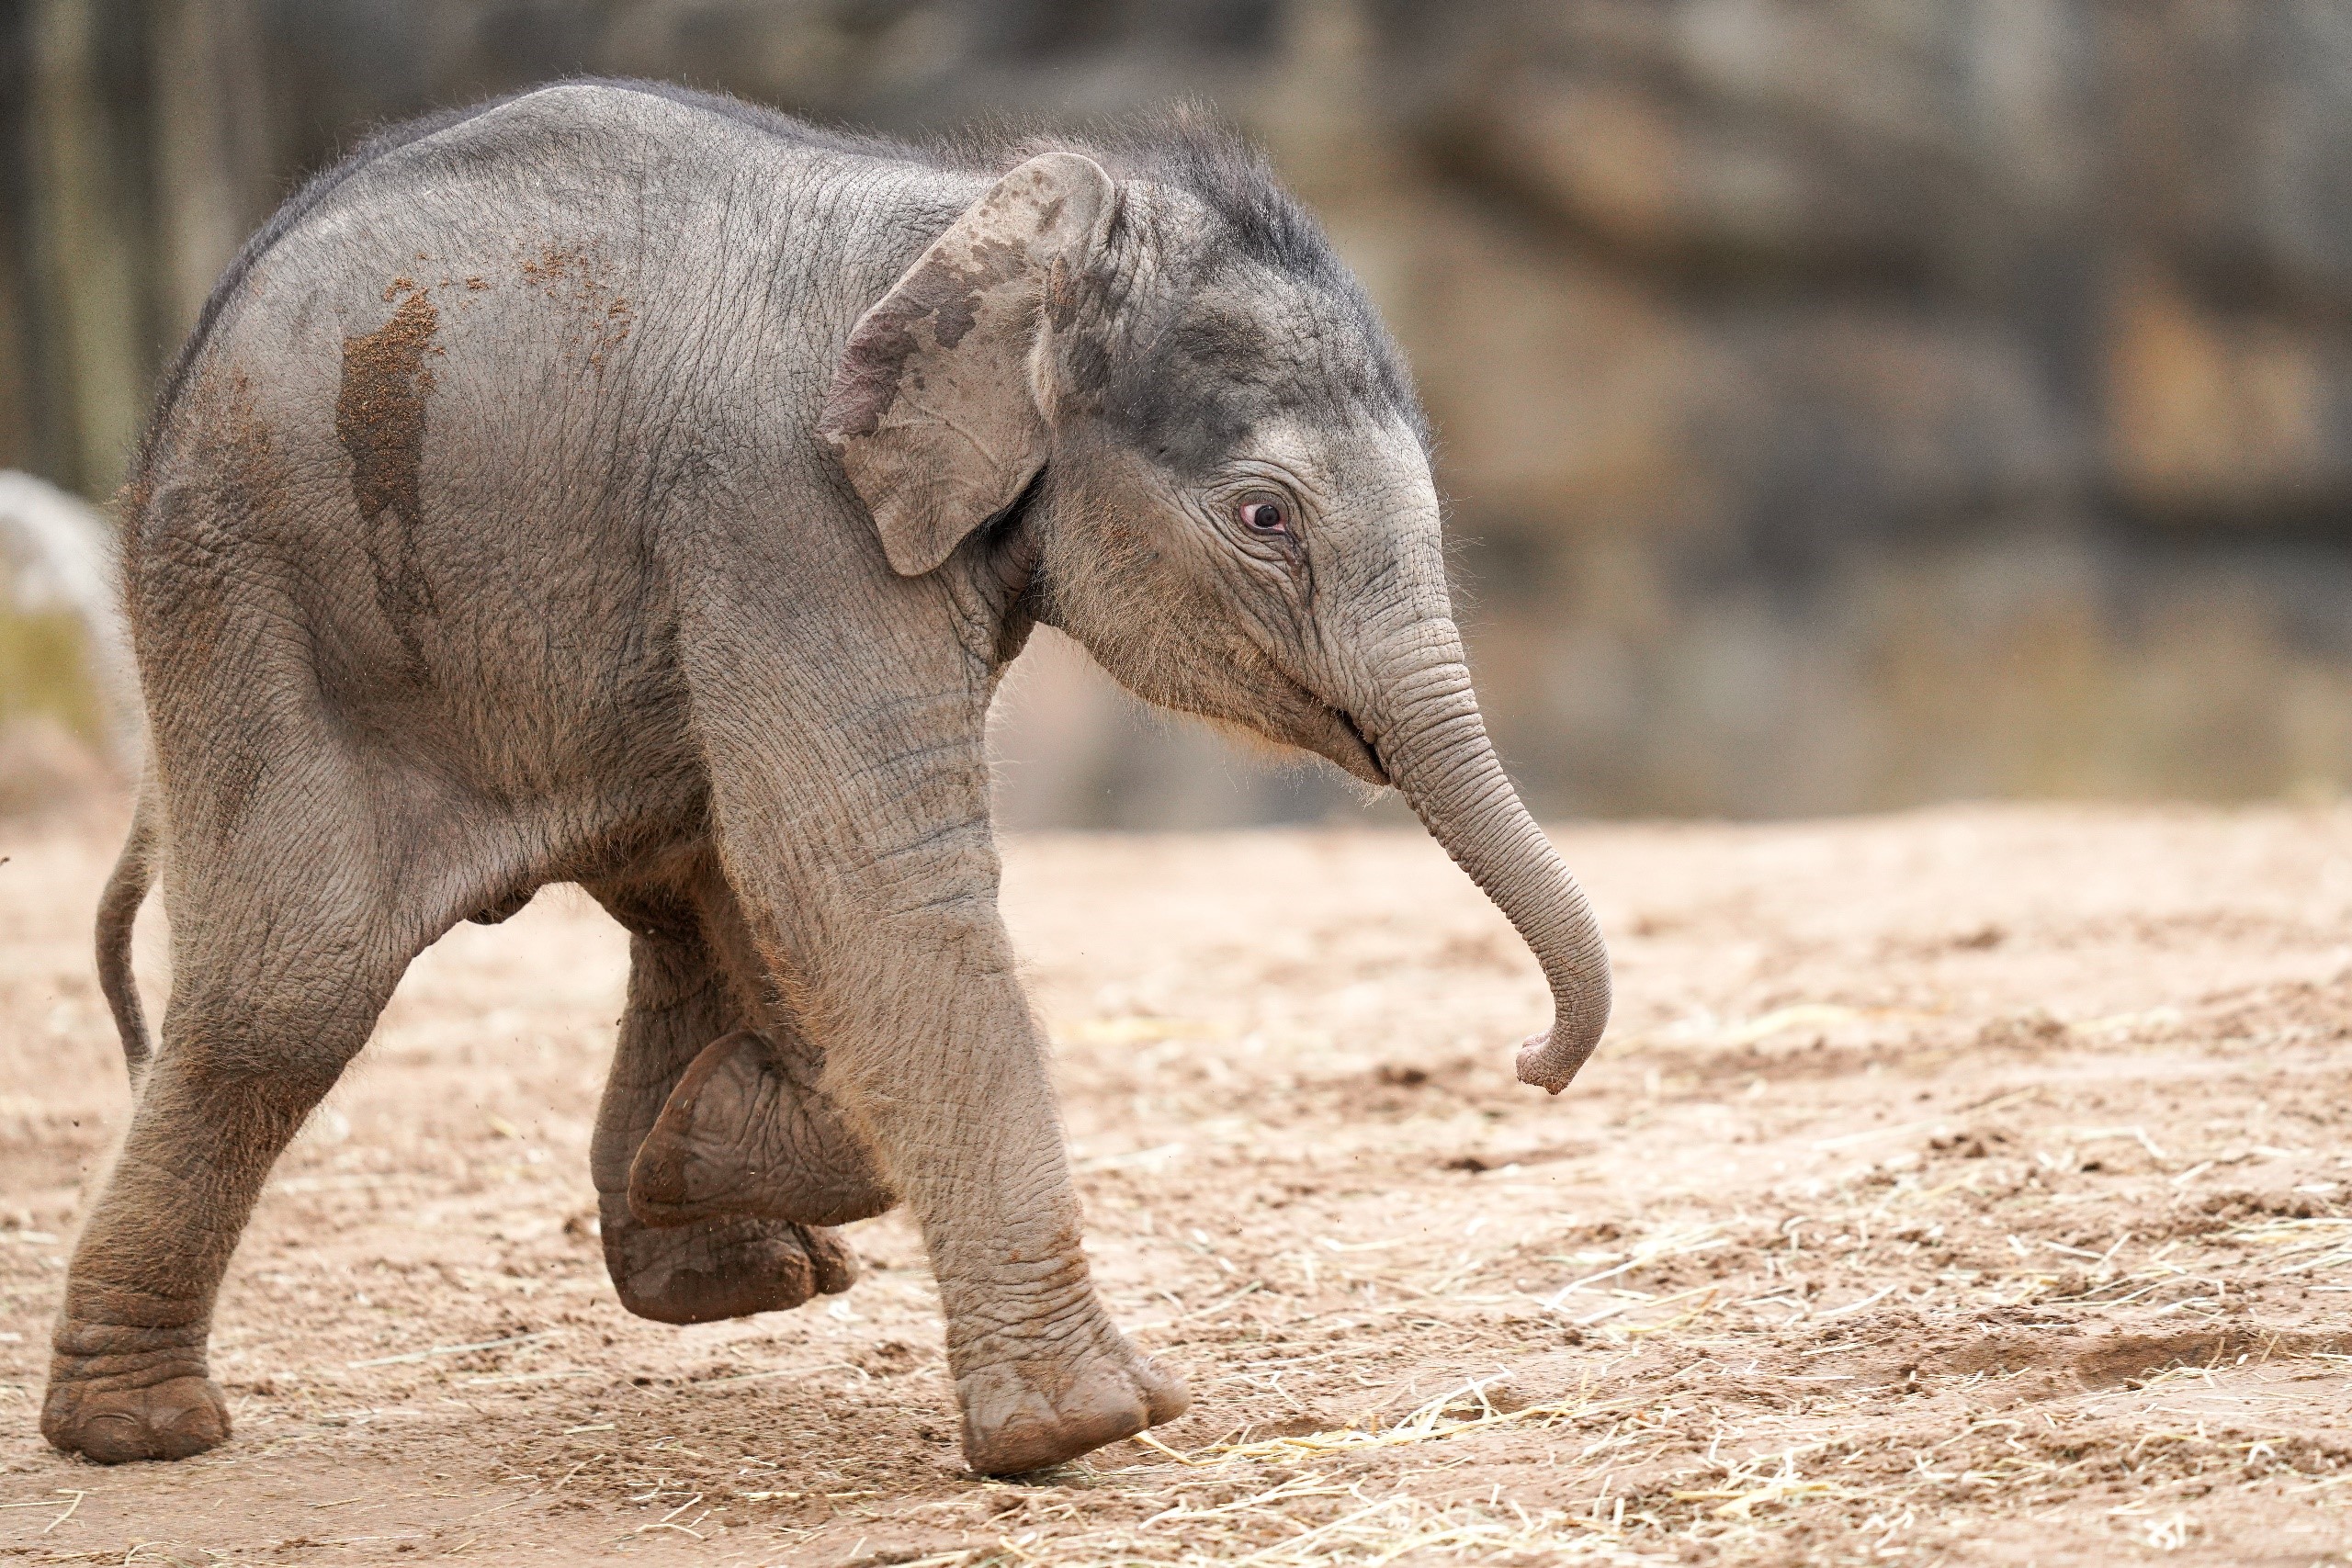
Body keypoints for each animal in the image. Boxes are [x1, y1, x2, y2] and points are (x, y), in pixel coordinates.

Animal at [45, 79, 1611, 1476]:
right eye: (1266, 516)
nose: (1524, 1061)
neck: (983, 222)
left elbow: (813, 880)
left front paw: (707, 1144)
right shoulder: (785, 504)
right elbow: (870, 875)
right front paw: (1094, 1425)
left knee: (684, 890)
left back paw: (720, 1250)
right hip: (251, 589)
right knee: (292, 988)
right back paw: (140, 1430)